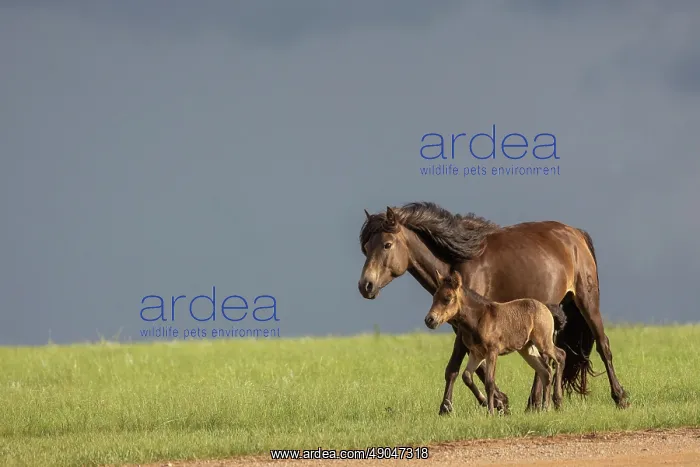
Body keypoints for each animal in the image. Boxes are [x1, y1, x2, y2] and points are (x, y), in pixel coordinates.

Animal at [424, 268, 568, 414]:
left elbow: (489, 382)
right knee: (546, 371)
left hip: (543, 342)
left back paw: (558, 401)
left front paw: (491, 412)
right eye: (434, 297)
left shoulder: (492, 351)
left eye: (447, 298)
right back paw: (546, 407)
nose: (429, 320)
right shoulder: (476, 353)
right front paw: (487, 402)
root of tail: (546, 308)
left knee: (560, 355)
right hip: (527, 349)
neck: (479, 318)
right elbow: (467, 376)